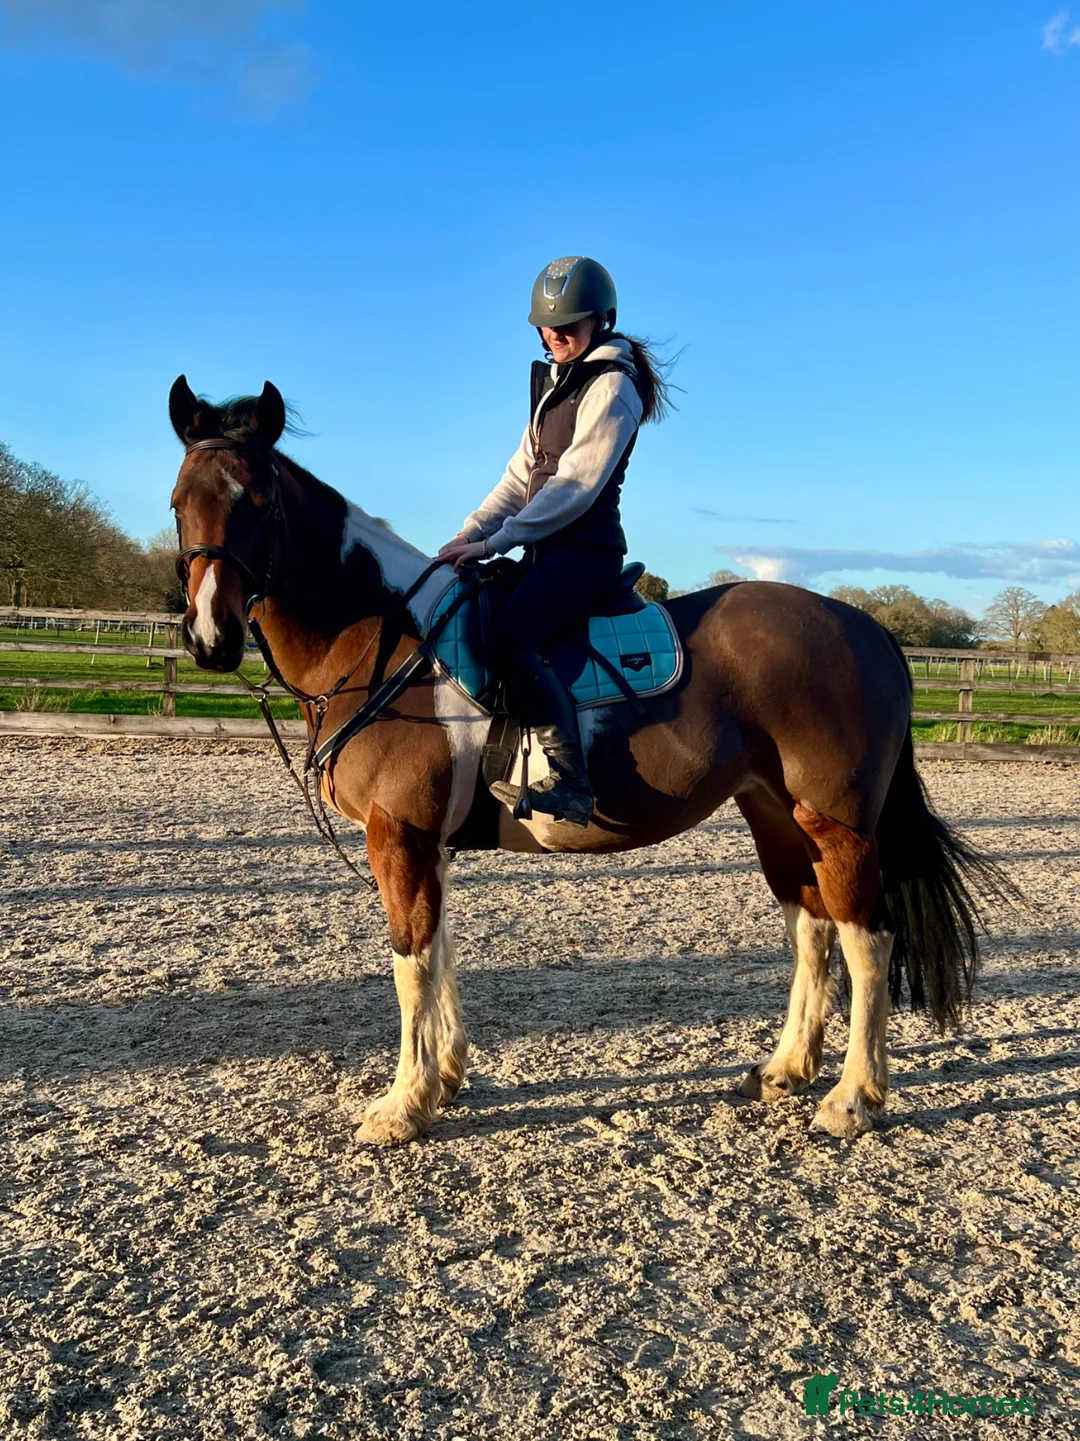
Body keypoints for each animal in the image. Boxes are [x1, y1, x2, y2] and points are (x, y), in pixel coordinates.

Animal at [168, 376, 1002, 1146]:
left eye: (260, 501)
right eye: (180, 502)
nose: (210, 636)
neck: (385, 636)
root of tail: (867, 629)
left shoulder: (399, 834)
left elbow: (410, 959)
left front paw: (403, 1105)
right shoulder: (429, 842)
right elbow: (440, 952)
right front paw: (445, 1077)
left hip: (838, 825)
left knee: (869, 940)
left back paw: (852, 1098)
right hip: (776, 815)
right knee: (814, 926)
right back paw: (786, 1068)